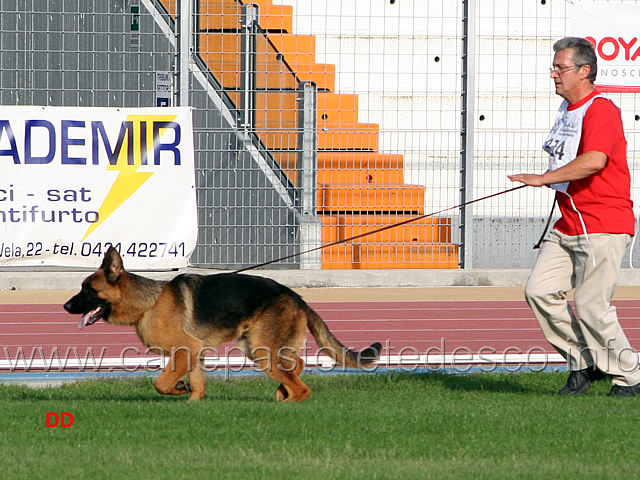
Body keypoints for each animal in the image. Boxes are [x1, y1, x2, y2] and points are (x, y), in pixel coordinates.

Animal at [63, 248, 380, 402]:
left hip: (262, 351)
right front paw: (190, 400)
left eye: (88, 289)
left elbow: (161, 382)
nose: (65, 307)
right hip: (258, 347)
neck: (148, 303)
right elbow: (197, 385)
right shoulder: (194, 354)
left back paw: (287, 399)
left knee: (302, 388)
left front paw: (178, 390)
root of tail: (296, 297)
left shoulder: (185, 350)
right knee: (298, 366)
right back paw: (282, 391)